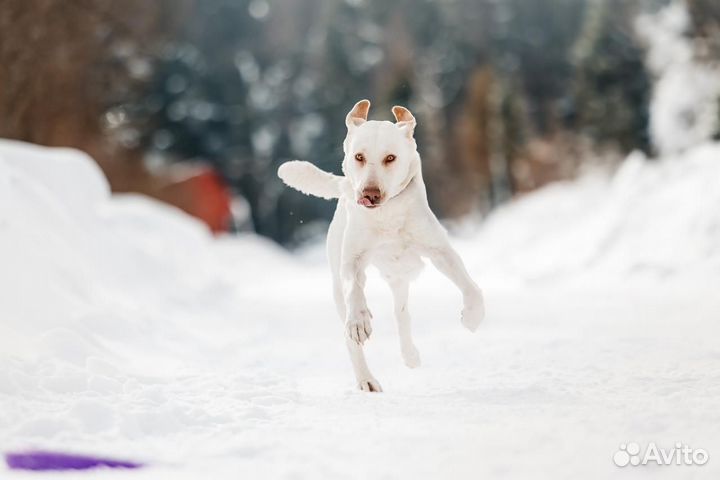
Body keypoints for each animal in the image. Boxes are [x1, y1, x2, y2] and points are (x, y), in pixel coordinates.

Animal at [278, 99, 486, 392]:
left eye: (390, 158)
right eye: (359, 157)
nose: (369, 194)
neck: (387, 214)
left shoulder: (440, 250)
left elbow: (470, 287)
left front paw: (472, 316)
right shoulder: (352, 260)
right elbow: (354, 289)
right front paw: (359, 320)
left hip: (399, 276)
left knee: (401, 313)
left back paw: (410, 355)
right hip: (340, 286)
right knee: (352, 337)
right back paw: (366, 378)